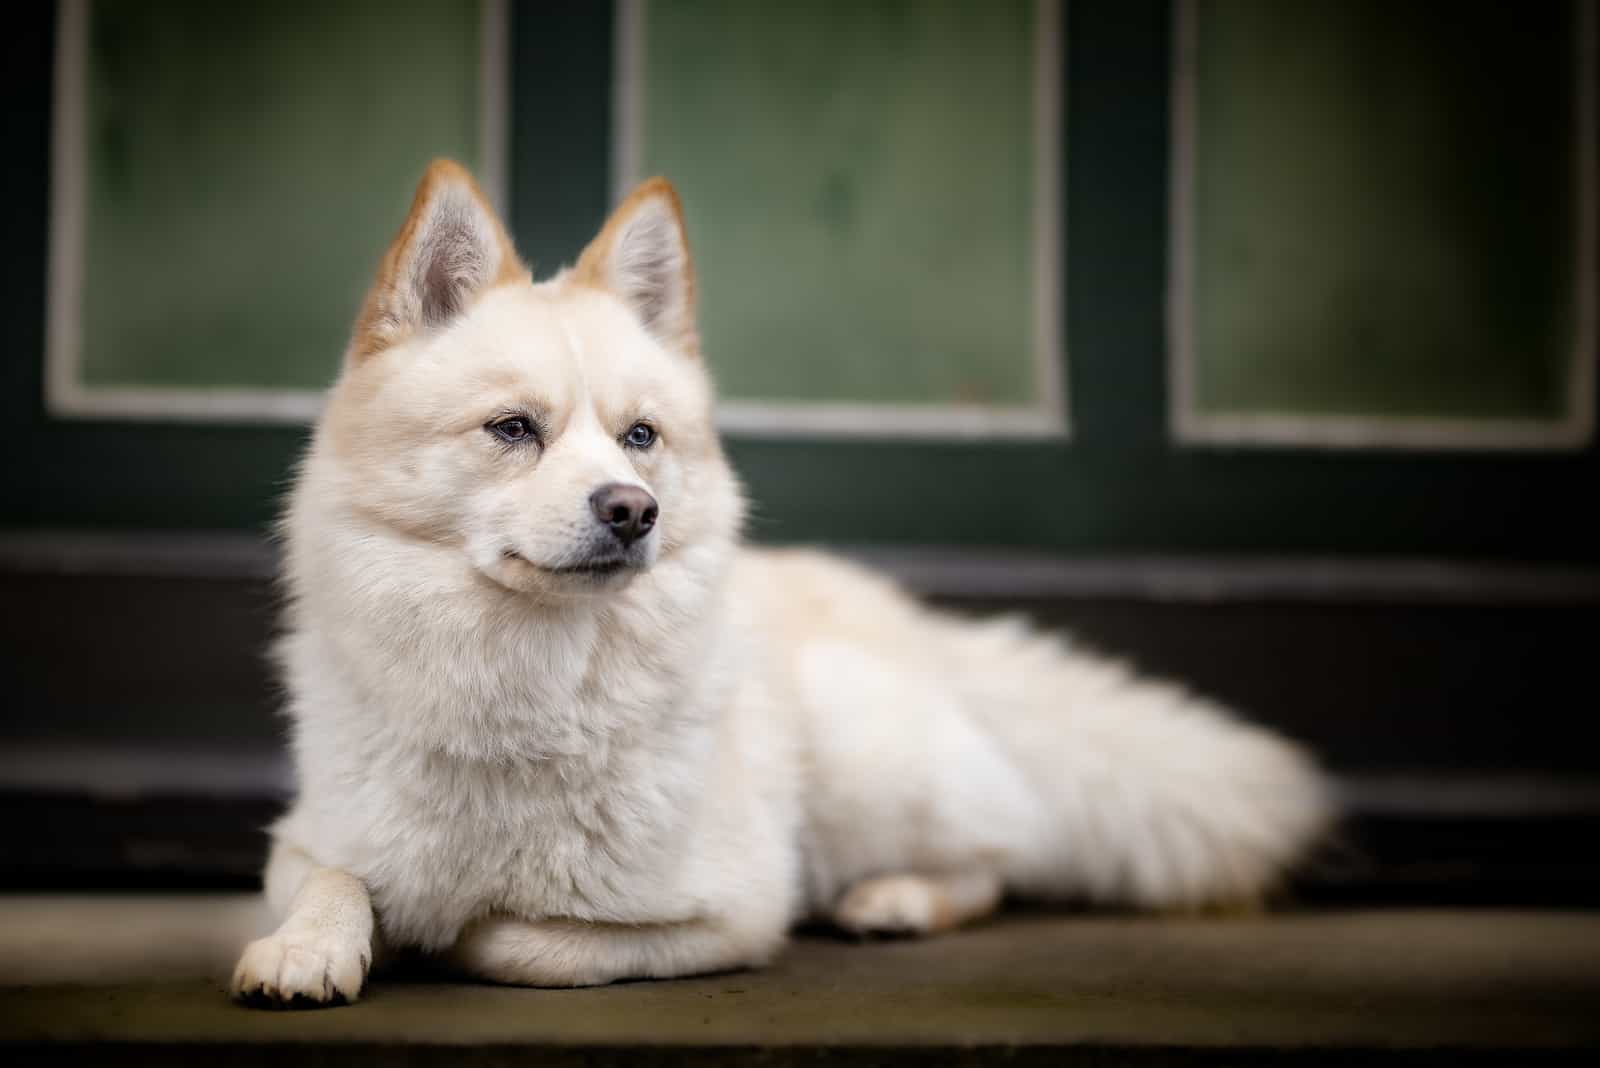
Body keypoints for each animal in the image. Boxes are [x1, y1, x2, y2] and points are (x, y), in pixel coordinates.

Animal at [228, 156, 1324, 1004]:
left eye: (640, 436)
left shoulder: (733, 912)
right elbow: (334, 880)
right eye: (512, 429)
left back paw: (893, 899)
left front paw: (447, 935)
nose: (632, 510)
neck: (523, 695)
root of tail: (910, 622)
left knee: (997, 857)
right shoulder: (306, 840)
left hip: (859, 752)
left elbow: (516, 940)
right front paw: (305, 950)